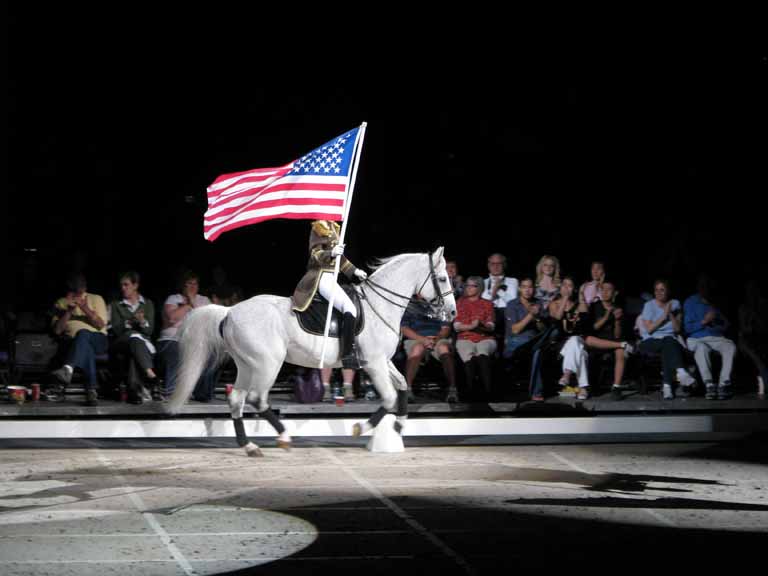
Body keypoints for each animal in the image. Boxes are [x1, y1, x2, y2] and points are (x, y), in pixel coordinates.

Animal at [166, 245, 456, 456]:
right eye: (442, 278)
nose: (452, 313)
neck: (379, 305)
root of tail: (229, 311)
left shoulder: (383, 361)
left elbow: (403, 385)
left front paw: (399, 424)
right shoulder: (374, 363)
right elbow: (388, 398)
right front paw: (360, 427)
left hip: (247, 364)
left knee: (237, 398)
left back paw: (249, 446)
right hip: (268, 363)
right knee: (257, 399)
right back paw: (283, 437)